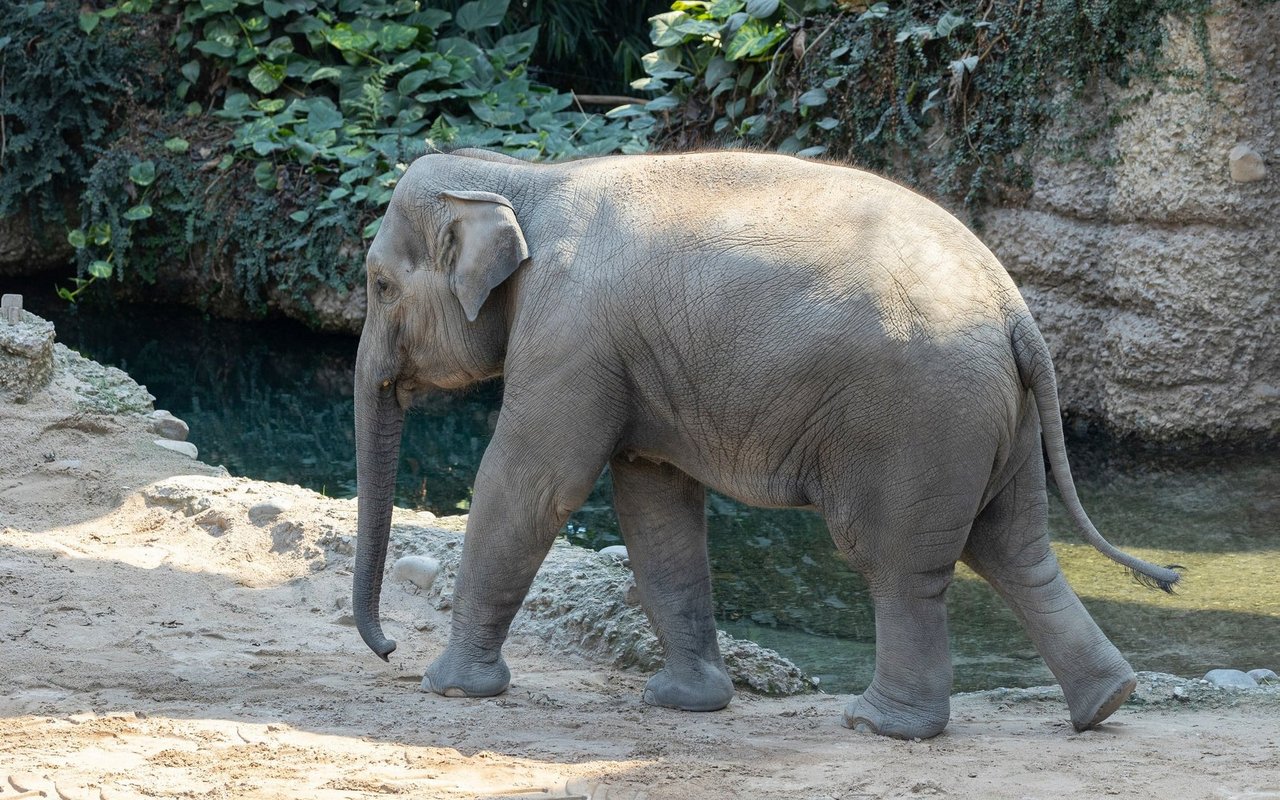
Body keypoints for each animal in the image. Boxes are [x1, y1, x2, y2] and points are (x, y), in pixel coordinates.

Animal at [353, 148, 1177, 737]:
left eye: (381, 286)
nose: (388, 650)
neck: (521, 177)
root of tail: (1014, 308)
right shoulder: (623, 358)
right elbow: (654, 502)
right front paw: (685, 703)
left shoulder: (569, 335)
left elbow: (532, 485)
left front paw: (449, 688)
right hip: (995, 420)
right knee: (1015, 548)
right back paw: (1106, 703)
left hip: (915, 421)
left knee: (897, 561)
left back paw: (881, 726)